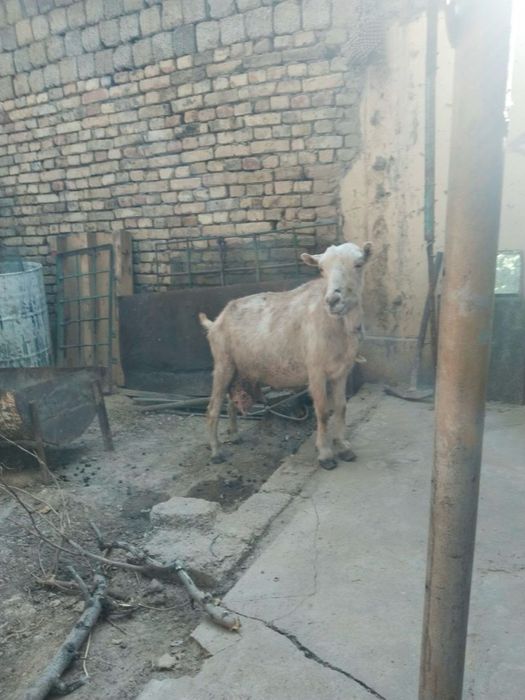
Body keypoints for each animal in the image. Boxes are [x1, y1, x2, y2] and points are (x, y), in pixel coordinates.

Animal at [199, 241, 372, 469]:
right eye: (321, 269)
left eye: (358, 264)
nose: (333, 300)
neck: (337, 325)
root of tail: (216, 322)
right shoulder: (315, 371)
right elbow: (323, 412)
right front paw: (325, 454)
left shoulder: (341, 371)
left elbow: (341, 408)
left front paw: (343, 447)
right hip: (222, 363)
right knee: (212, 407)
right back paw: (216, 452)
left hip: (237, 368)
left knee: (229, 402)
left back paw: (234, 435)